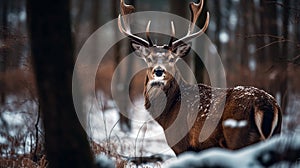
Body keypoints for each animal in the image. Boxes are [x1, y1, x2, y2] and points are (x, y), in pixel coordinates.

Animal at [117, 0, 282, 156]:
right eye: (149, 58)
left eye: (171, 59)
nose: (158, 71)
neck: (168, 112)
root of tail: (267, 105)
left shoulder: (181, 143)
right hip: (275, 134)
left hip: (239, 136)